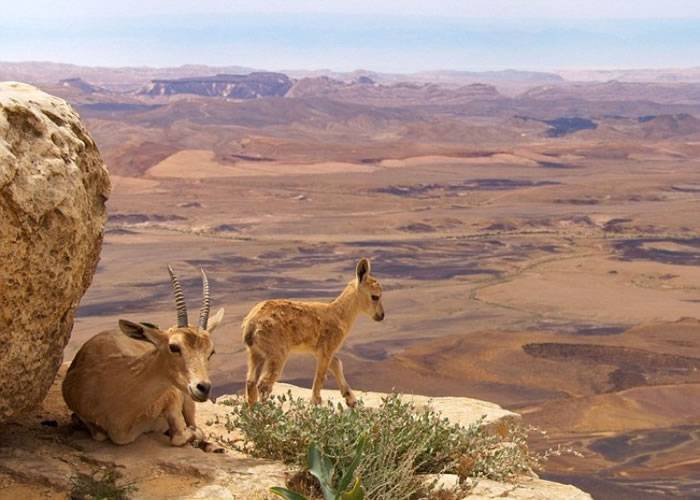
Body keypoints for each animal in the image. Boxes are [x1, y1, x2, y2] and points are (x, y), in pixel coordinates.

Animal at [62, 270, 223, 450]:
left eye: (211, 351)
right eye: (174, 347)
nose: (203, 388)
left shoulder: (173, 396)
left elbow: (181, 436)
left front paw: (193, 435)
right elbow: (99, 435)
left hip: (188, 400)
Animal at [241, 258, 382, 406]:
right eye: (375, 296)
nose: (381, 315)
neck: (340, 314)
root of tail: (251, 325)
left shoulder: (319, 350)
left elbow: (337, 364)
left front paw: (351, 400)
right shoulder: (326, 349)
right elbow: (321, 376)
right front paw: (317, 401)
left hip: (256, 353)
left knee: (251, 383)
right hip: (277, 353)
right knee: (264, 384)